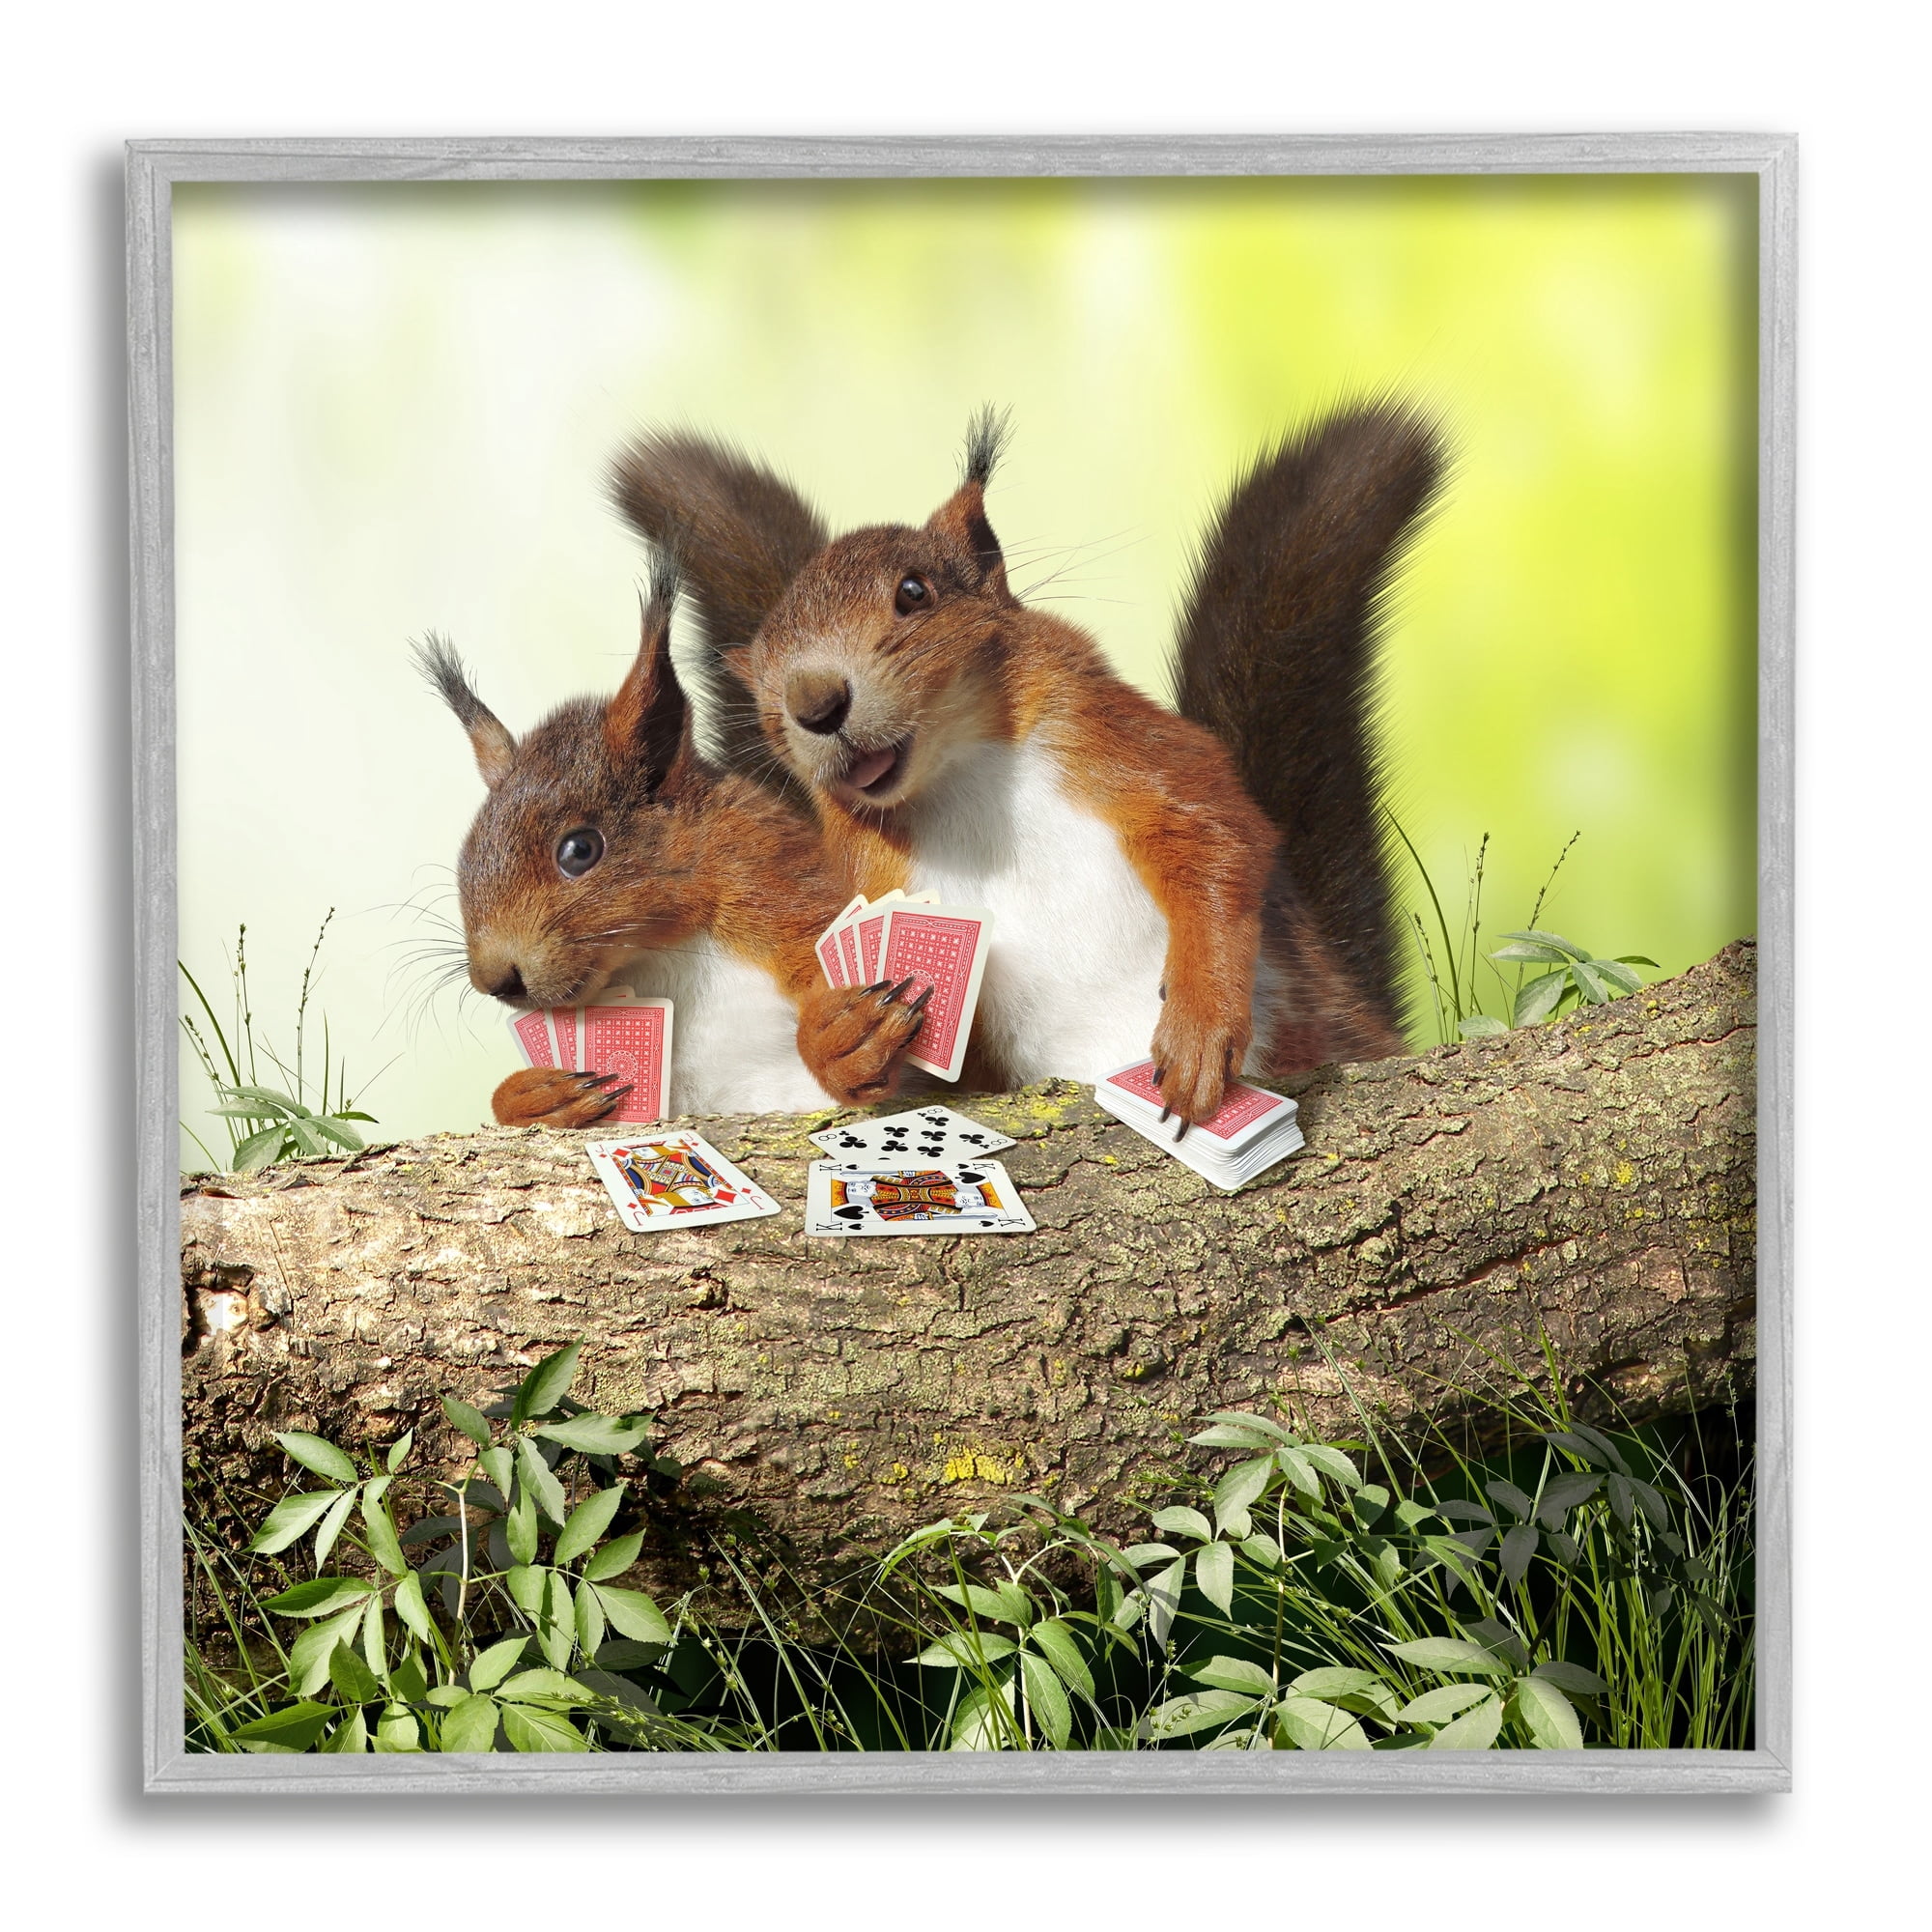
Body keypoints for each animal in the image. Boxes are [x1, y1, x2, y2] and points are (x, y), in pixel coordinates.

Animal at [414, 556, 927, 1128]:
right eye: (466, 855)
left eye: (580, 850)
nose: (495, 980)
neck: (658, 951)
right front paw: (535, 1094)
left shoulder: (770, 878)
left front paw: (844, 1037)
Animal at [671, 406, 1441, 1127]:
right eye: (763, 685)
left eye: (915, 592)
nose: (813, 703)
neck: (956, 779)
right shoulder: (863, 876)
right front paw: (840, 1035)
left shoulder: (1109, 735)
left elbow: (1215, 836)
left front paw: (1201, 1026)